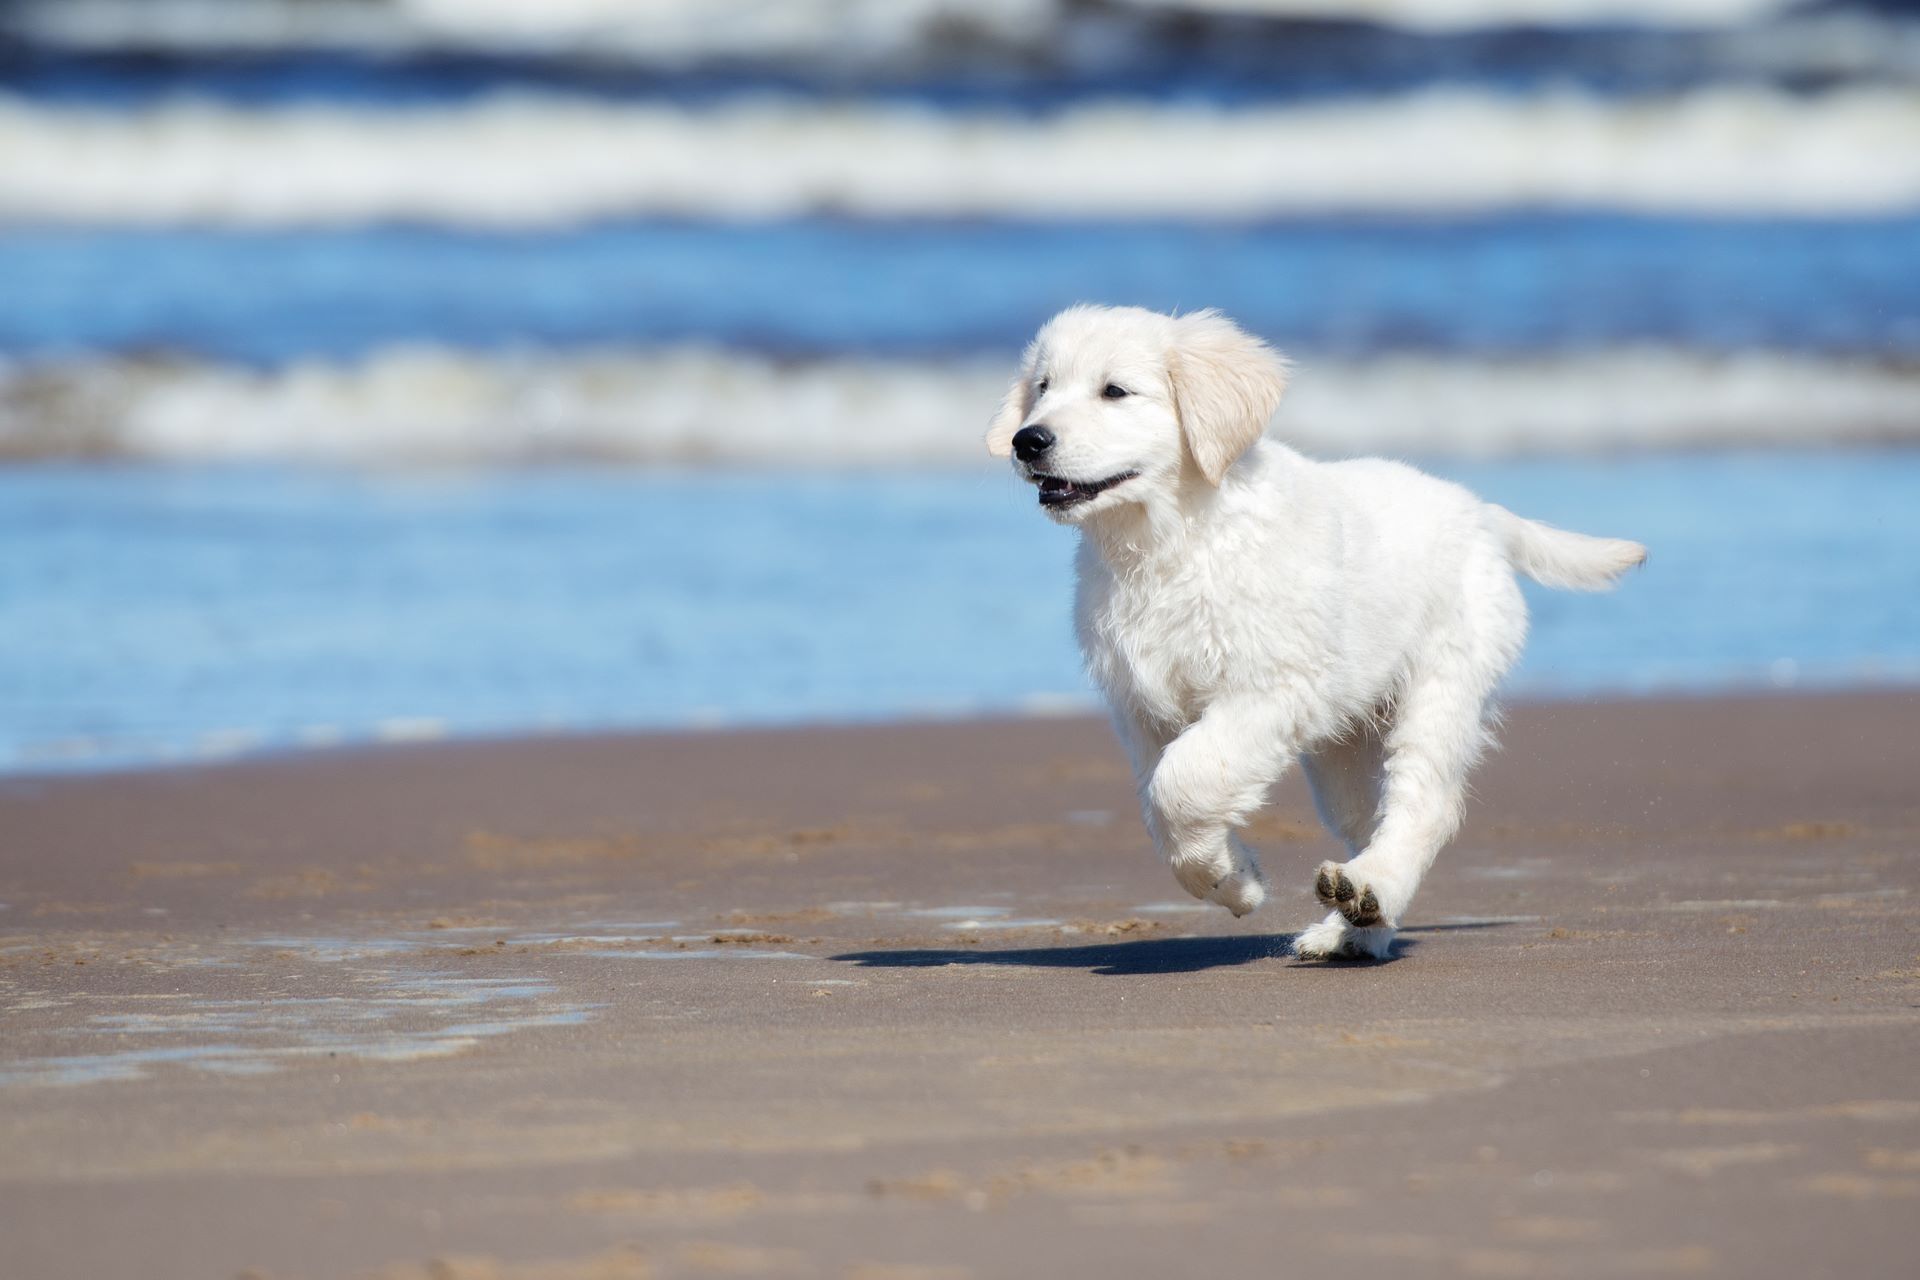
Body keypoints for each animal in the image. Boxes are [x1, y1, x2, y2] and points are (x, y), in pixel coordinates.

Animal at [990, 305, 1635, 955]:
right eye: (1042, 388)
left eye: (1115, 391)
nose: (1027, 440)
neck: (1171, 540)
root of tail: (1481, 513)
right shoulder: (1142, 706)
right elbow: (1160, 802)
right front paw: (1230, 877)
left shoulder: (1269, 686)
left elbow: (1183, 780)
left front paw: (1229, 876)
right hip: (1343, 747)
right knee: (1366, 820)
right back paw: (1354, 927)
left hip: (1442, 685)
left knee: (1421, 806)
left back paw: (1371, 891)